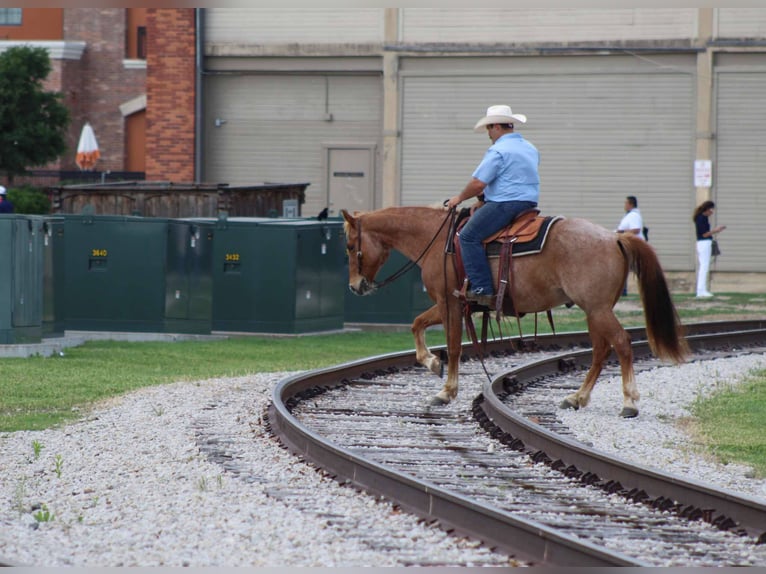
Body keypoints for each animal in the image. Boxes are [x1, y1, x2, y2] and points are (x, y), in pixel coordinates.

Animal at [341, 206, 689, 418]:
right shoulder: (450, 304)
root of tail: (615, 237)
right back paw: (576, 397)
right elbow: (417, 323)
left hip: (598, 310)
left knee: (622, 344)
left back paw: (629, 401)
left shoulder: (449, 303)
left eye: (349, 245)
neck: (437, 240)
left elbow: (452, 347)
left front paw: (445, 389)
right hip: (595, 311)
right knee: (602, 350)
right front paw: (431, 362)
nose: (355, 287)